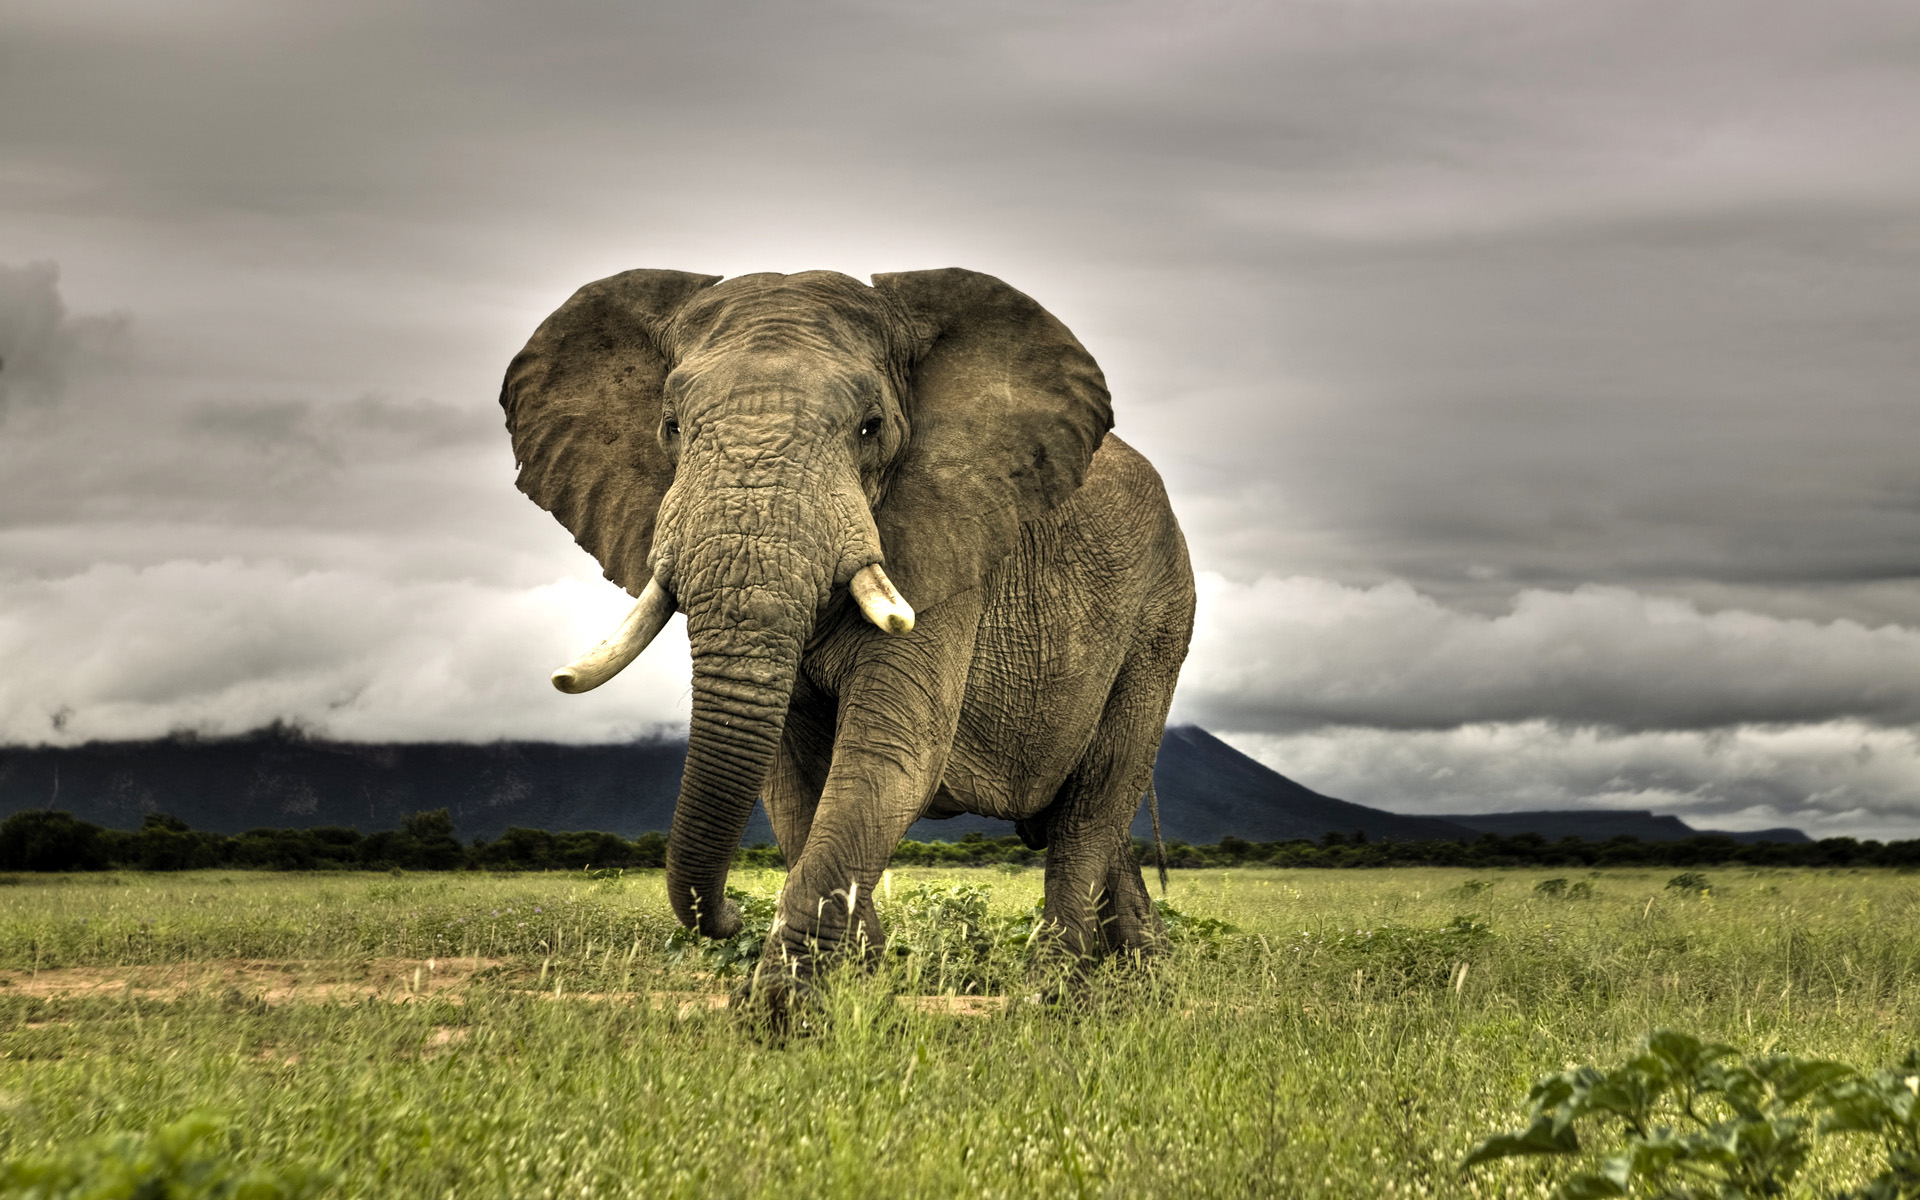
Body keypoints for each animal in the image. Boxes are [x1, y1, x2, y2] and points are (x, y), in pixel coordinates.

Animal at [500, 267, 1194, 1001]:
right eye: (671, 427)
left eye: (871, 427)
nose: (726, 915)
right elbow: (790, 780)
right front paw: (860, 985)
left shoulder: (948, 549)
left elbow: (889, 756)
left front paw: (781, 1012)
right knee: (1092, 821)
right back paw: (1144, 978)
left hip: (1160, 619)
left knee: (1093, 805)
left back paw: (1056, 998)